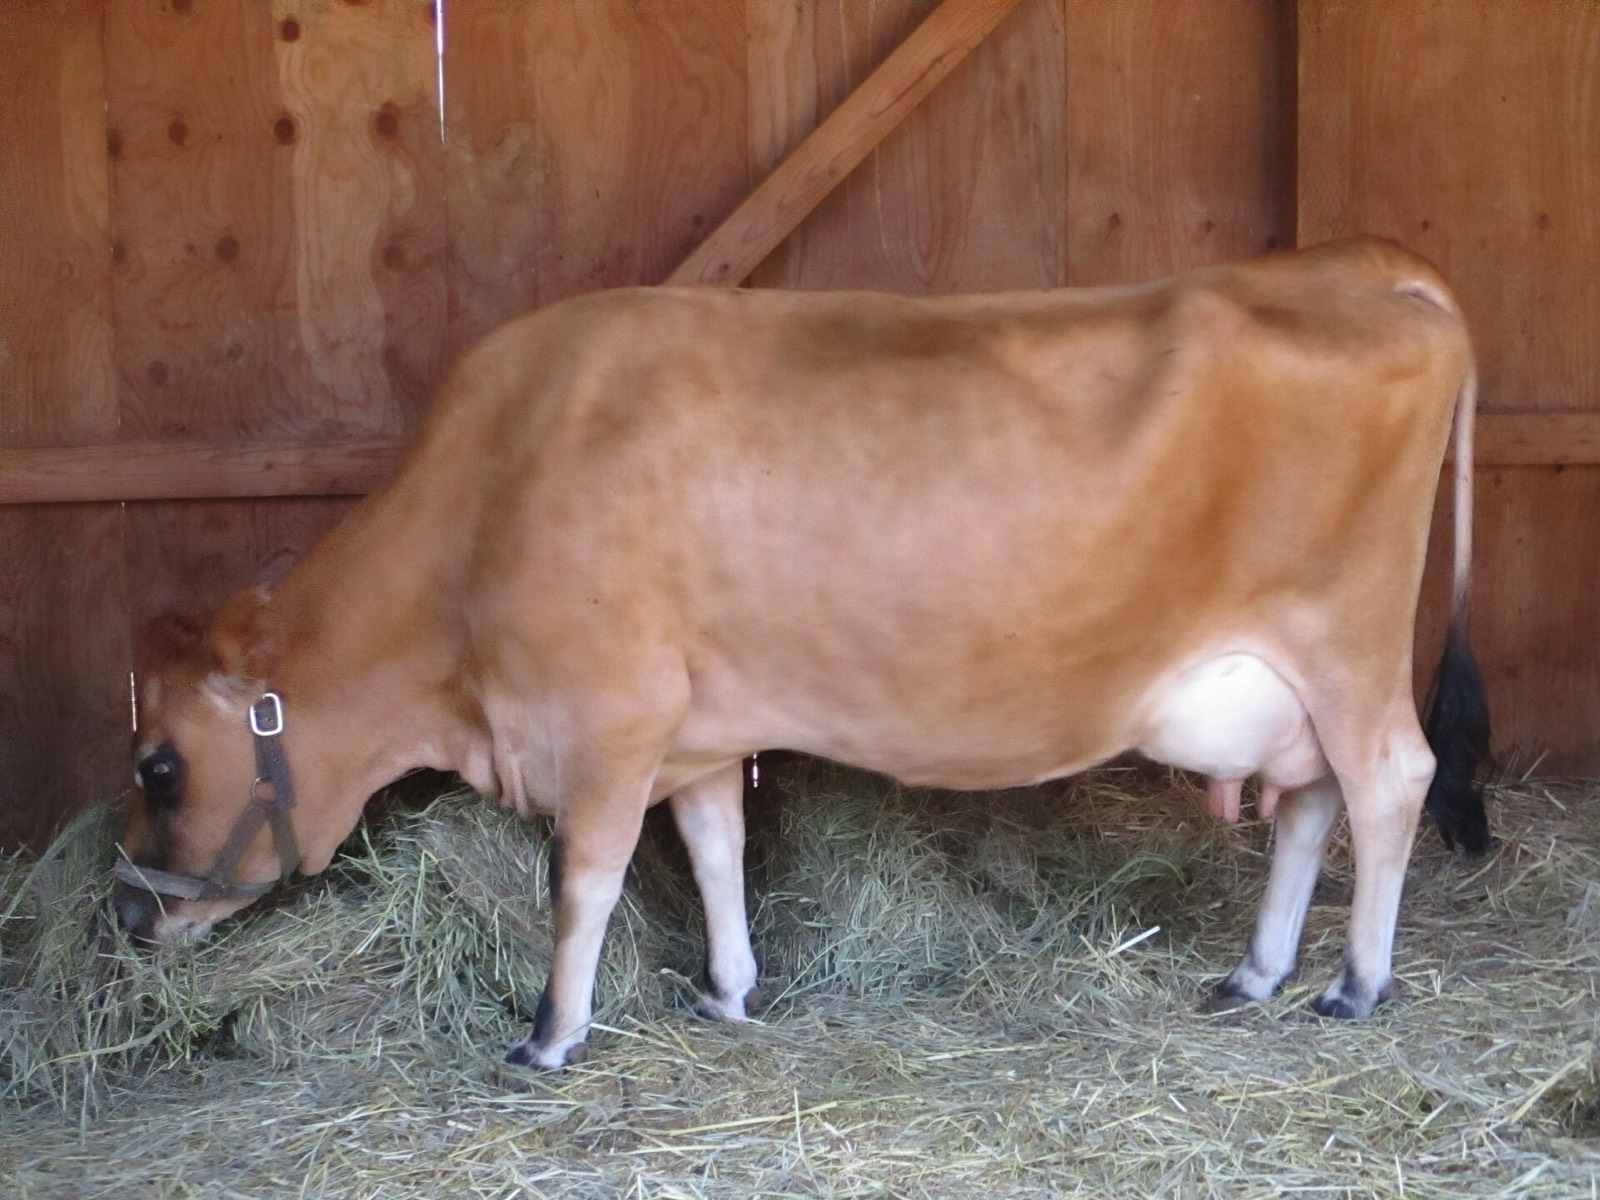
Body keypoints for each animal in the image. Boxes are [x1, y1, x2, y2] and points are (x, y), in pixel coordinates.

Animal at [114, 237, 1491, 1071]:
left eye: (158, 764)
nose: (126, 914)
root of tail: (1359, 266)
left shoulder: (609, 719)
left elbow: (584, 882)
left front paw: (550, 1036)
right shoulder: (694, 729)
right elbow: (716, 849)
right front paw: (728, 988)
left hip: (1349, 645)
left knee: (1390, 780)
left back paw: (1354, 982)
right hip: (1294, 680)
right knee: (1311, 802)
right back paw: (1256, 970)